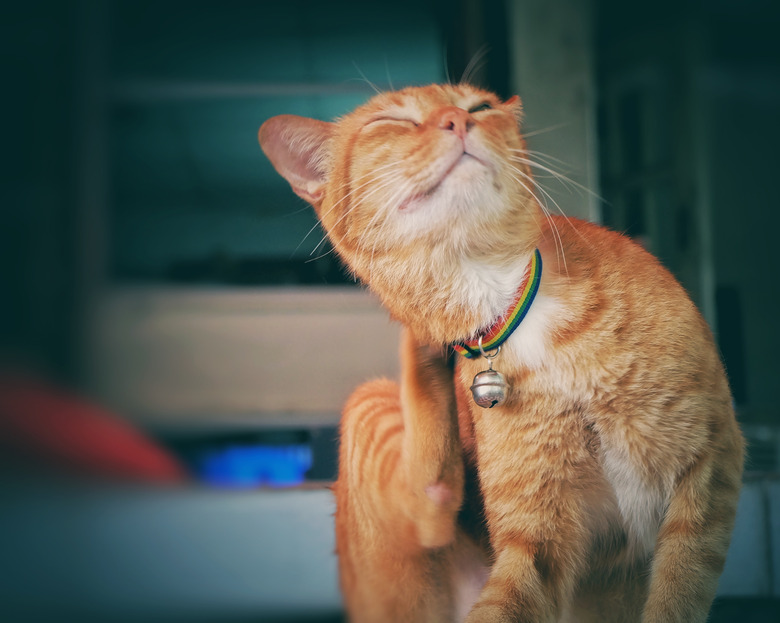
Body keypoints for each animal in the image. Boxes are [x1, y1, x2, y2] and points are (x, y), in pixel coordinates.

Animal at [260, 84, 744, 623]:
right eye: (391, 121)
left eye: (479, 108)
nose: (456, 120)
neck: (502, 296)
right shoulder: (536, 536)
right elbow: (506, 601)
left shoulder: (711, 463)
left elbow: (677, 589)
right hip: (369, 401)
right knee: (428, 512)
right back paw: (422, 359)